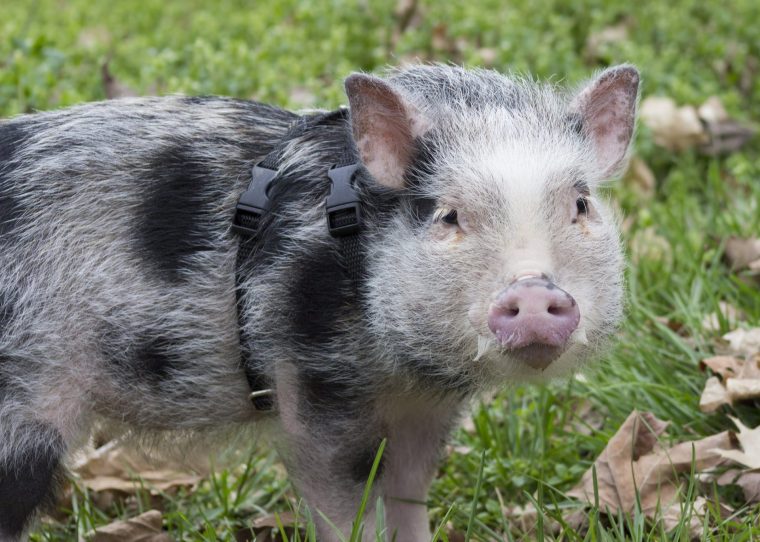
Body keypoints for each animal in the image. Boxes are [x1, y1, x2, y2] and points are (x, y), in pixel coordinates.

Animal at [0, 64, 639, 541]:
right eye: (449, 215)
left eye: (581, 205)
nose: (534, 290)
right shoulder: (312, 378)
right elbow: (341, 502)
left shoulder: (423, 410)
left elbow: (408, 494)